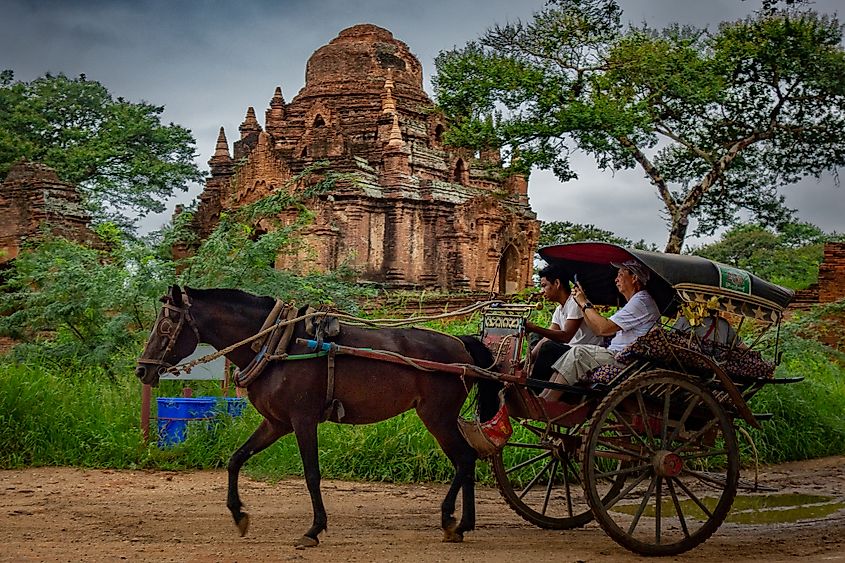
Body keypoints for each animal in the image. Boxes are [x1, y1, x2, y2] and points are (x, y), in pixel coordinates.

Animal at [135, 284, 498, 548]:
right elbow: (236, 459)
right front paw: (238, 514)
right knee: (467, 460)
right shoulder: (276, 423)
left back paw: (451, 519)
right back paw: (463, 524)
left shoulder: (302, 419)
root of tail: (462, 345)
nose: (141, 370)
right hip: (440, 417)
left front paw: (314, 529)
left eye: (165, 325)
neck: (277, 345)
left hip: (437, 416)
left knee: (465, 459)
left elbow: (311, 474)